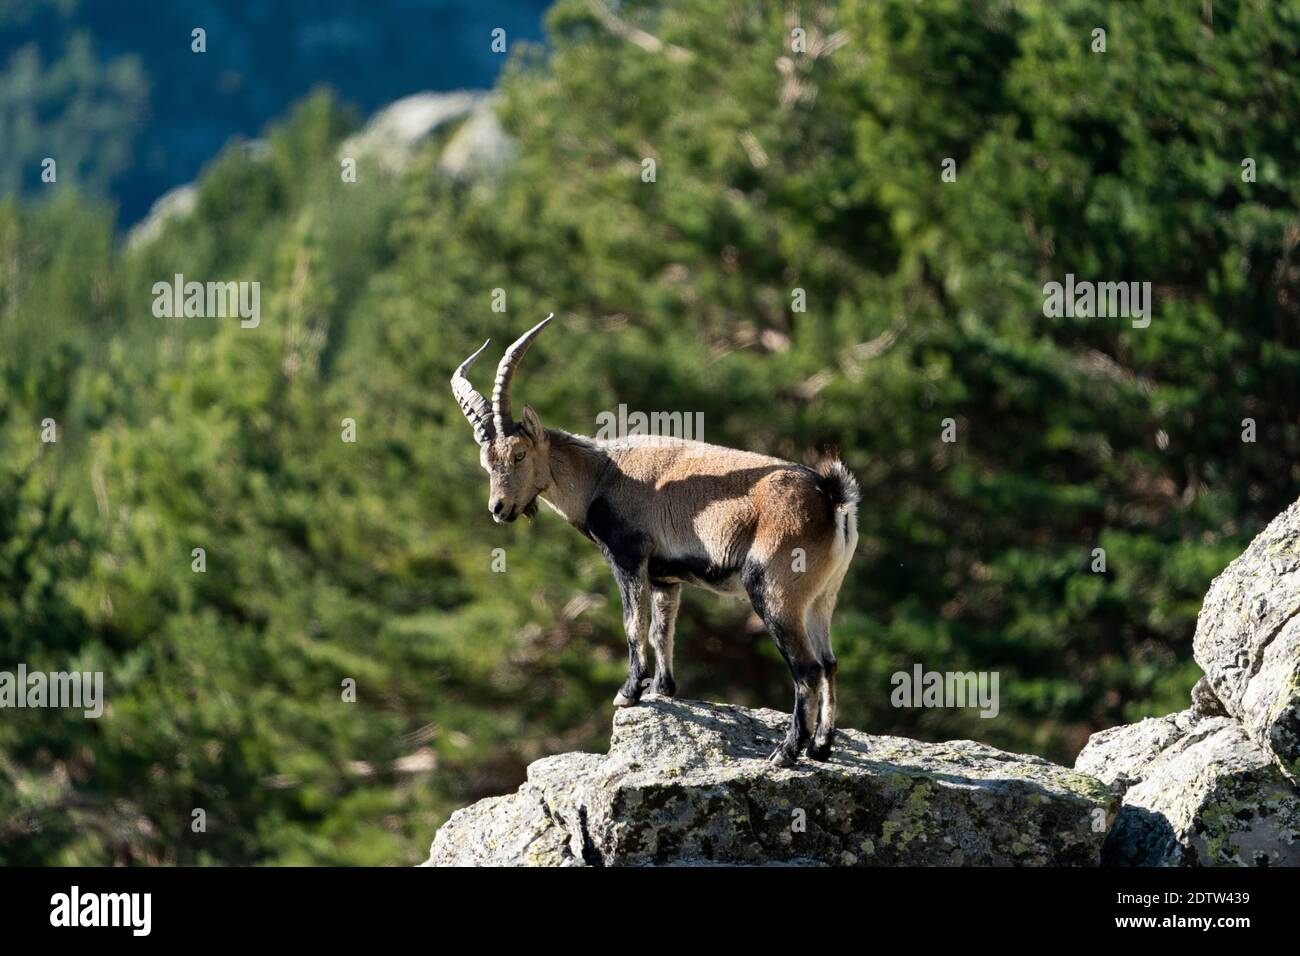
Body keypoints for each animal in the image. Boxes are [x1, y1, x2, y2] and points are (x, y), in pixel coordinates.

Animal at [451, 315, 860, 764]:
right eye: (486, 461)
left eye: (519, 454)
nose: (499, 508)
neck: (602, 474)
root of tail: (831, 498)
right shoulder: (666, 576)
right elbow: (662, 630)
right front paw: (664, 690)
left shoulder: (628, 556)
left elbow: (634, 624)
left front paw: (629, 692)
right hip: (822, 596)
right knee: (829, 662)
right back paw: (821, 747)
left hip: (776, 592)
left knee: (807, 668)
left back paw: (787, 751)